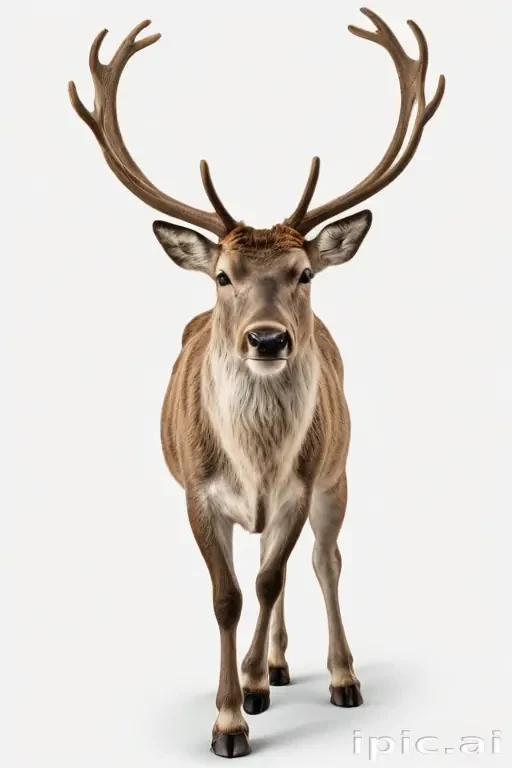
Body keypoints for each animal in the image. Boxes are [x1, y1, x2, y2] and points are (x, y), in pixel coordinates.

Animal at [69, 7, 445, 759]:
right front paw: (229, 718)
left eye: (304, 273)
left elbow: (271, 580)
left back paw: (328, 675)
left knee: (323, 563)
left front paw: (245, 696)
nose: (268, 339)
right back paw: (273, 665)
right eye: (222, 275)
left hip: (338, 473)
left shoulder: (301, 487)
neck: (256, 465)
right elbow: (228, 597)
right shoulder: (195, 490)